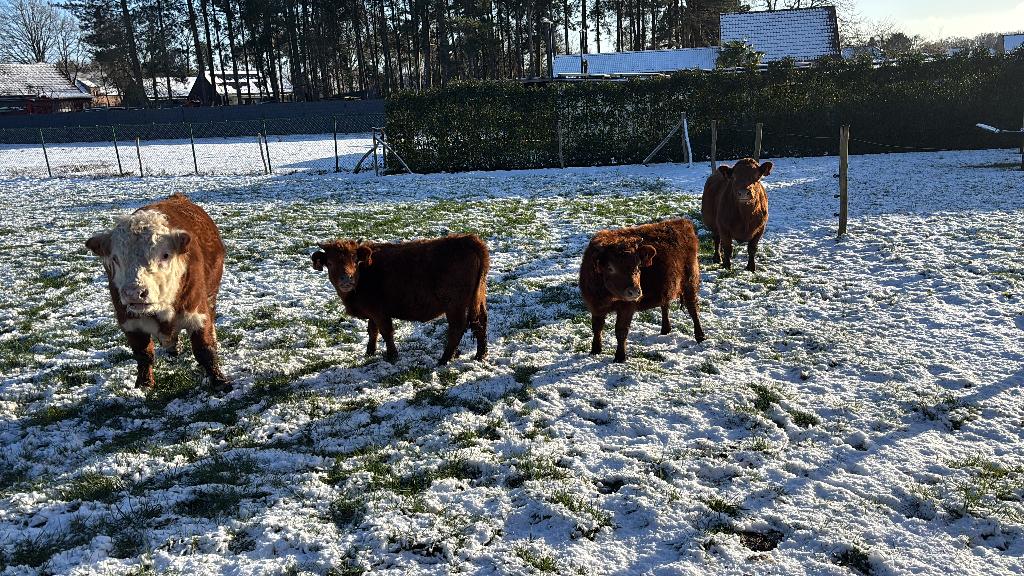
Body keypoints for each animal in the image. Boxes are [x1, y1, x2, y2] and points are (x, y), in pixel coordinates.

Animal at [85, 193, 230, 392]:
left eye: (165, 255)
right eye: (115, 258)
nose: (134, 293)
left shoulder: (198, 313)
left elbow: (204, 350)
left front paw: (219, 381)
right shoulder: (129, 323)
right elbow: (143, 354)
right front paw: (144, 384)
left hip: (211, 295)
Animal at [311, 234, 489, 366]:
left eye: (355, 260)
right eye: (330, 263)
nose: (346, 279)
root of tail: (468, 239)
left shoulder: (379, 312)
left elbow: (386, 331)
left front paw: (392, 356)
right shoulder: (372, 313)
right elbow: (372, 331)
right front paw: (369, 352)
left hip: (454, 304)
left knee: (457, 327)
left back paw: (444, 359)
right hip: (478, 299)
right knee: (480, 322)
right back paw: (480, 355)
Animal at [579, 218, 705, 363]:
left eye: (638, 265)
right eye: (610, 268)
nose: (634, 291)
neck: (606, 296)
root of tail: (683, 222)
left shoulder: (627, 307)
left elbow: (621, 331)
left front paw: (620, 356)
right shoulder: (594, 305)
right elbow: (597, 327)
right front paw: (595, 350)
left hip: (690, 282)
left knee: (693, 308)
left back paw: (700, 336)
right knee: (665, 305)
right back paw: (665, 329)